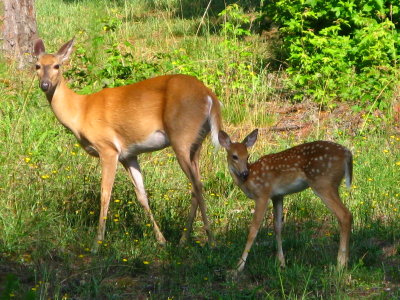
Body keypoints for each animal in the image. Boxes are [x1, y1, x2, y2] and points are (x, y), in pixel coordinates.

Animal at [33, 39, 222, 251]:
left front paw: (97, 243)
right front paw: (161, 240)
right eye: (37, 66)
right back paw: (183, 240)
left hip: (181, 136)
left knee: (197, 184)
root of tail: (209, 96)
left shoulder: (108, 148)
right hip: (197, 143)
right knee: (195, 185)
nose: (45, 85)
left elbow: (105, 193)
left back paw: (212, 242)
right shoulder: (128, 155)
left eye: (57, 65)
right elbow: (142, 195)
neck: (81, 112)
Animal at [219, 129, 354, 272]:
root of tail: (347, 153)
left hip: (323, 183)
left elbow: (253, 230)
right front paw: (281, 263)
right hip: (331, 185)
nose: (244, 173)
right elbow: (277, 227)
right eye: (234, 156)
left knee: (345, 215)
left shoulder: (263, 194)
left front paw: (239, 266)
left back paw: (340, 264)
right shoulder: (277, 196)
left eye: (247, 156)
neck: (249, 181)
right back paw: (345, 262)